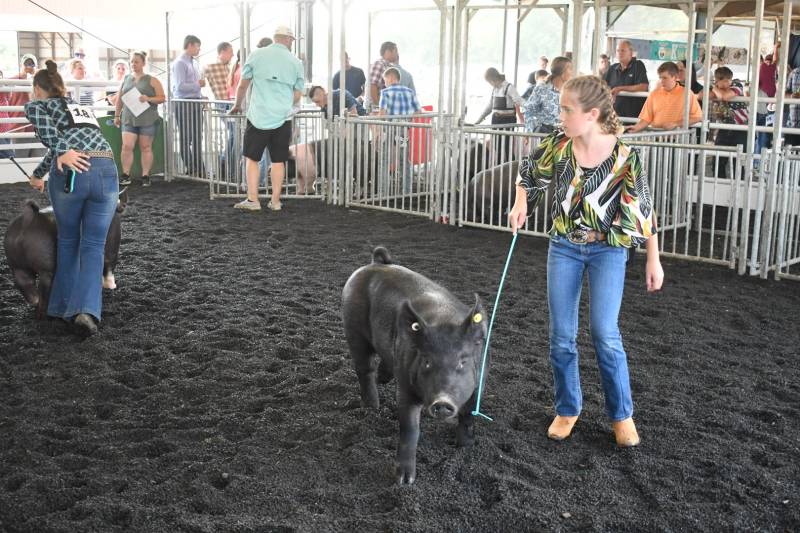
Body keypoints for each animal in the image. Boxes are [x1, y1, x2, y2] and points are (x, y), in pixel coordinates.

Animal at [3, 189, 126, 318]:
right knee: (44, 288)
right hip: (46, 268)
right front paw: (111, 286)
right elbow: (109, 267)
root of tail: (28, 219)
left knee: (24, 283)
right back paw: (45, 313)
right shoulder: (112, 246)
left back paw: (36, 304)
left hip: (16, 264)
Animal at [340, 247, 484, 484]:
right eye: (426, 361)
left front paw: (465, 446)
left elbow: (468, 415)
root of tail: (375, 263)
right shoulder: (406, 387)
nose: (442, 401)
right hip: (353, 329)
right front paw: (404, 481)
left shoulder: (479, 384)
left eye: (463, 362)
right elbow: (410, 429)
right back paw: (372, 406)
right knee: (364, 369)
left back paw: (383, 379)